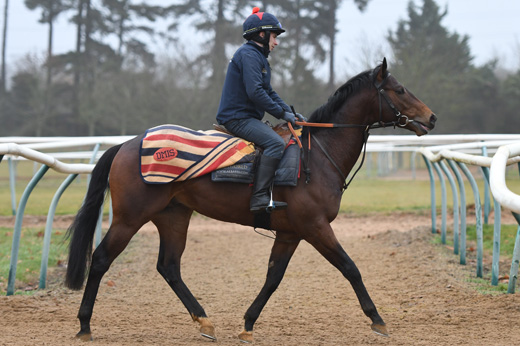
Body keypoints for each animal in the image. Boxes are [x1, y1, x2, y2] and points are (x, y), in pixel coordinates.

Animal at [67, 58, 436, 342]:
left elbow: (273, 278)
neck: (316, 156)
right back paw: (84, 325)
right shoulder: (316, 227)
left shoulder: (290, 233)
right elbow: (350, 268)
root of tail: (127, 145)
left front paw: (247, 324)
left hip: (174, 216)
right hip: (130, 217)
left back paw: (205, 321)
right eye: (399, 90)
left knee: (169, 267)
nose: (431, 117)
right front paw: (378, 320)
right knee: (100, 260)